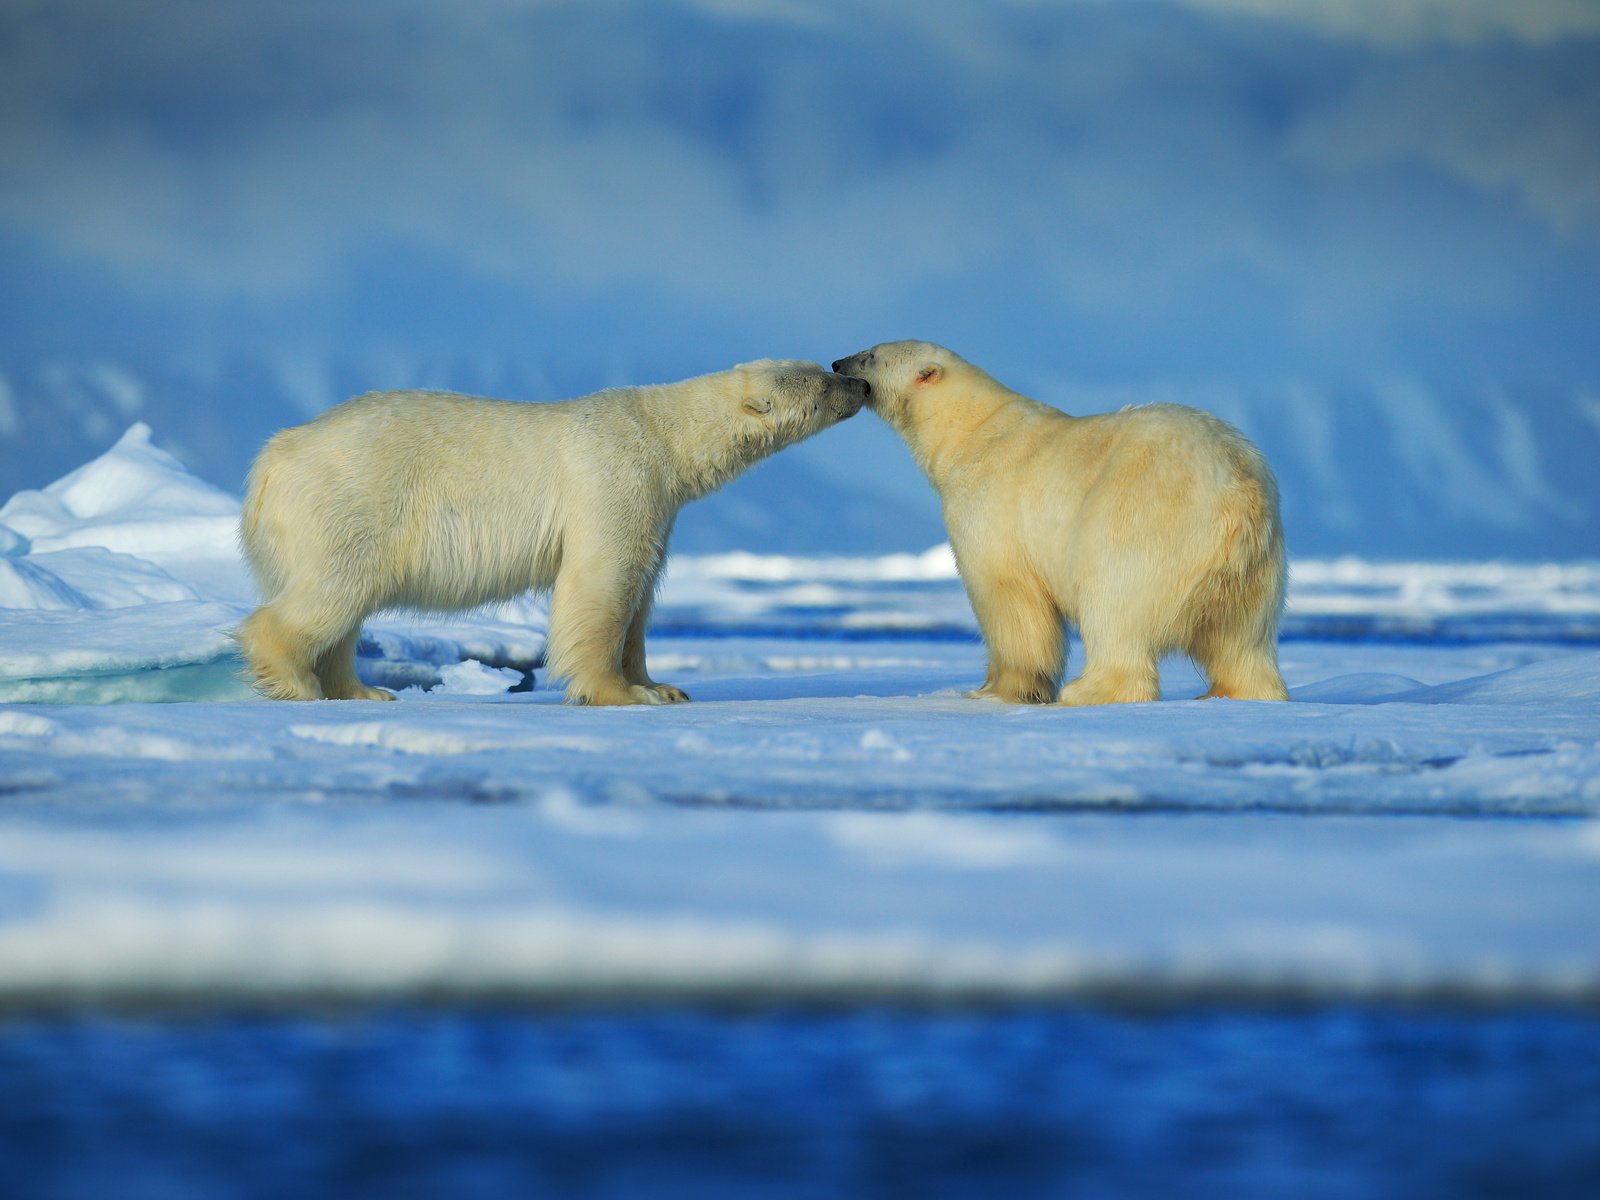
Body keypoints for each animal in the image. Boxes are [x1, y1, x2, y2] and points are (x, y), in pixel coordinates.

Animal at [238, 361, 870, 710]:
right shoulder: (616, 475)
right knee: (333, 591)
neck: (663, 434)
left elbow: (641, 594)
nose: (861, 382)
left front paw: (663, 686)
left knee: (345, 607)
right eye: (821, 379)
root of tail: (276, 454)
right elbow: (604, 581)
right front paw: (621, 693)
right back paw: (298, 683)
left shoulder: (660, 506)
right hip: (353, 499)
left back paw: (362, 690)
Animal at [838, 340, 1286, 704]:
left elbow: (1007, 597)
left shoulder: (991, 506)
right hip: (1256, 568)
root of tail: (1237, 489)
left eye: (870, 355)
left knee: (1114, 605)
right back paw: (1239, 693)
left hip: (1143, 521)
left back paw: (1088, 690)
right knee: (1243, 641)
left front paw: (996, 690)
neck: (969, 431)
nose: (838, 362)